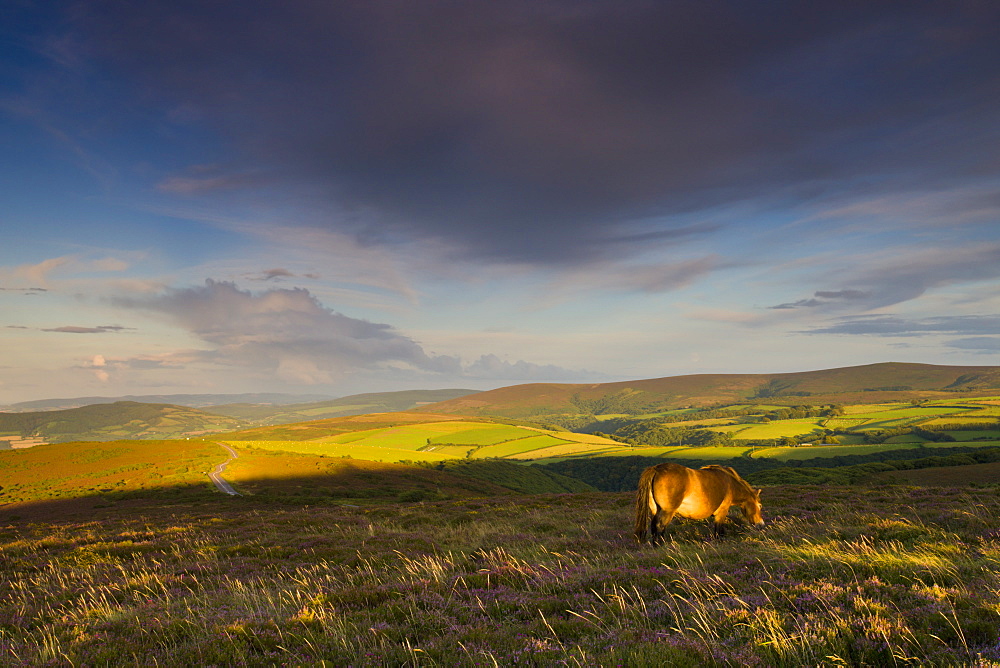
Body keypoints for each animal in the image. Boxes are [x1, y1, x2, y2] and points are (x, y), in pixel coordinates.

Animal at [632, 464, 764, 544]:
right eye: (760, 506)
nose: (761, 525)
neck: (730, 482)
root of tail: (656, 469)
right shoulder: (722, 512)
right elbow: (719, 531)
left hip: (656, 510)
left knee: (655, 527)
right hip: (667, 511)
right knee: (660, 526)